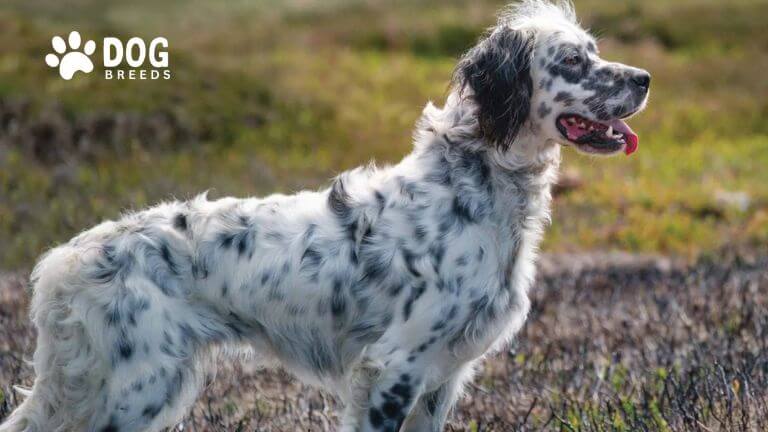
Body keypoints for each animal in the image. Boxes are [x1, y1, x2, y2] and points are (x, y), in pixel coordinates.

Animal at [0, 1, 648, 430]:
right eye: (572, 60)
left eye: (593, 51)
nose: (644, 78)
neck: (476, 184)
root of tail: (68, 259)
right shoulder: (394, 368)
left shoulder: (438, 381)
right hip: (136, 390)